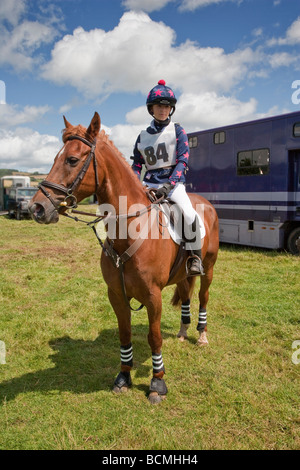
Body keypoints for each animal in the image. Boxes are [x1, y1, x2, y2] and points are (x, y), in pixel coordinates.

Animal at [29, 113, 218, 404]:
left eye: (71, 159)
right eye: (53, 159)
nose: (37, 208)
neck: (130, 230)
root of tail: (206, 204)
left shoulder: (153, 295)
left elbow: (154, 337)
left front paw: (157, 383)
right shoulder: (116, 294)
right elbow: (125, 333)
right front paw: (123, 377)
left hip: (208, 269)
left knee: (202, 297)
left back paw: (201, 335)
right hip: (182, 275)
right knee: (186, 294)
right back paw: (183, 332)